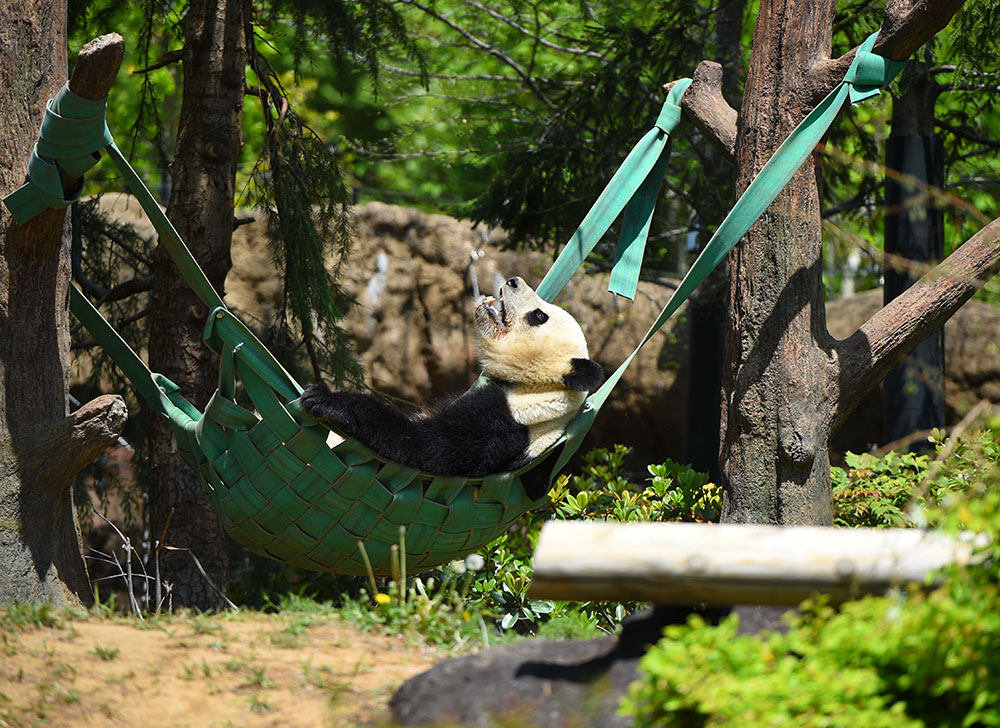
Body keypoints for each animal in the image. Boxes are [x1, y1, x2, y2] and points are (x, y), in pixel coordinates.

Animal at [300, 276, 603, 491]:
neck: (539, 387)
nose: (513, 281)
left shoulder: (506, 423)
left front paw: (326, 399)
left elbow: (425, 445)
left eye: (540, 316)